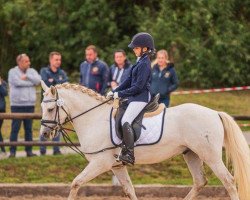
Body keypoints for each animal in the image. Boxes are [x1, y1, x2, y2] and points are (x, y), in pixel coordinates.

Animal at [39, 81, 250, 200]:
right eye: (42, 107)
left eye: (50, 109)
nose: (44, 134)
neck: (94, 118)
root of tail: (215, 113)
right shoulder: (117, 166)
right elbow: (129, 190)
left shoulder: (100, 163)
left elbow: (75, 183)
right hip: (191, 154)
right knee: (200, 182)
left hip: (210, 155)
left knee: (228, 181)